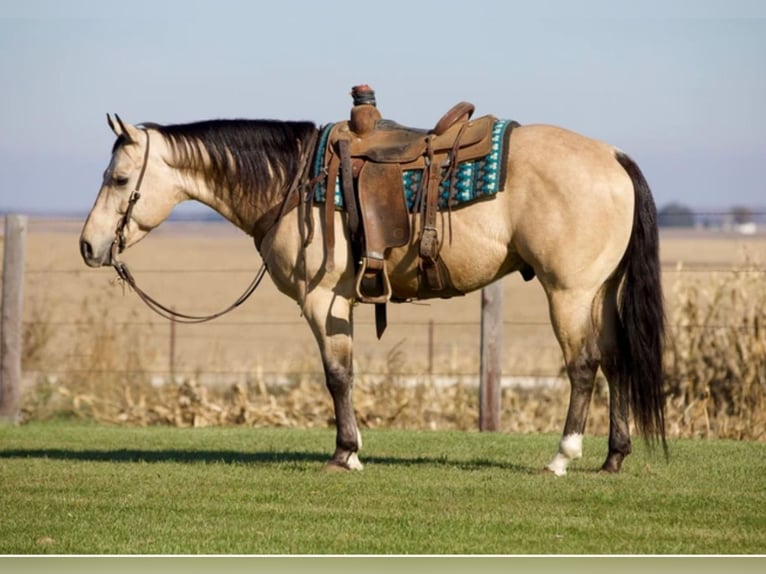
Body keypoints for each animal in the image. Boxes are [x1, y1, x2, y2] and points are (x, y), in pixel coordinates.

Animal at [79, 88, 664, 480]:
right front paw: (352, 448)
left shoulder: (322, 301)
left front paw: (344, 453)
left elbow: (337, 375)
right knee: (616, 361)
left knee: (584, 366)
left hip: (568, 293)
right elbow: (347, 373)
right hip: (599, 292)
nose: (88, 245)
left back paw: (563, 457)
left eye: (120, 179)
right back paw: (613, 457)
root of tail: (613, 157)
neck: (295, 181)